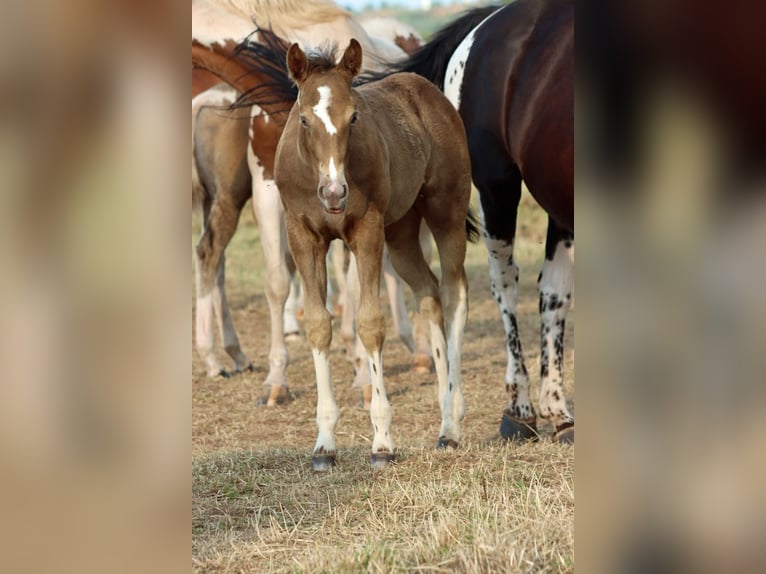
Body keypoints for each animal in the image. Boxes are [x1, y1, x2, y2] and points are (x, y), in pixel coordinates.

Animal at [272, 39, 475, 469]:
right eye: (304, 120)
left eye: (353, 117)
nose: (334, 194)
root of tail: (427, 90)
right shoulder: (302, 236)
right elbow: (319, 324)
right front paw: (324, 444)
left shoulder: (365, 232)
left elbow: (368, 323)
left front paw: (382, 442)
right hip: (401, 230)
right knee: (428, 292)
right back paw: (441, 407)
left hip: (445, 210)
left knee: (454, 293)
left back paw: (451, 422)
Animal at [363, 0, 575, 443]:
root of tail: (487, 22)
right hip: (498, 186)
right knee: (506, 282)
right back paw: (521, 409)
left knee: (553, 290)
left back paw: (557, 410)